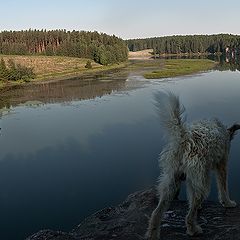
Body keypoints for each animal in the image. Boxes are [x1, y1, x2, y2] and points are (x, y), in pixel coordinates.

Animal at [145, 91, 239, 239]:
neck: (224, 131)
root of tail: (184, 139)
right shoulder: (222, 165)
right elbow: (223, 187)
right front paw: (228, 203)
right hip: (202, 181)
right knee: (189, 215)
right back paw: (193, 229)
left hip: (171, 181)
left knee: (156, 212)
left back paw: (152, 234)